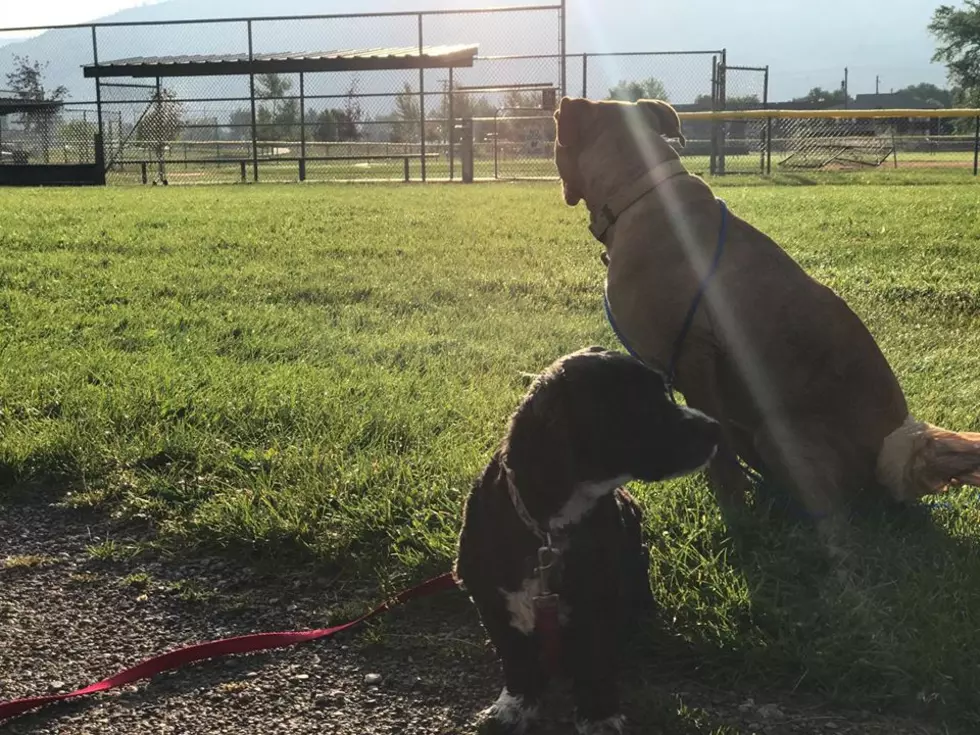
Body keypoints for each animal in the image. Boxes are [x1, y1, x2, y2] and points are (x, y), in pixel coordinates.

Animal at [454, 350, 720, 735]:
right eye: (641, 405)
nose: (715, 427)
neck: (548, 527)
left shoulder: (600, 596)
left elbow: (596, 660)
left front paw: (599, 715)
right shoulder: (488, 595)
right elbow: (514, 657)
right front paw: (516, 705)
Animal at [552, 96, 980, 524]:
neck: (639, 192)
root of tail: (894, 454)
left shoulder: (693, 354)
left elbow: (721, 458)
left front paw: (733, 511)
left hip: (777, 434)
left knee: (838, 511)